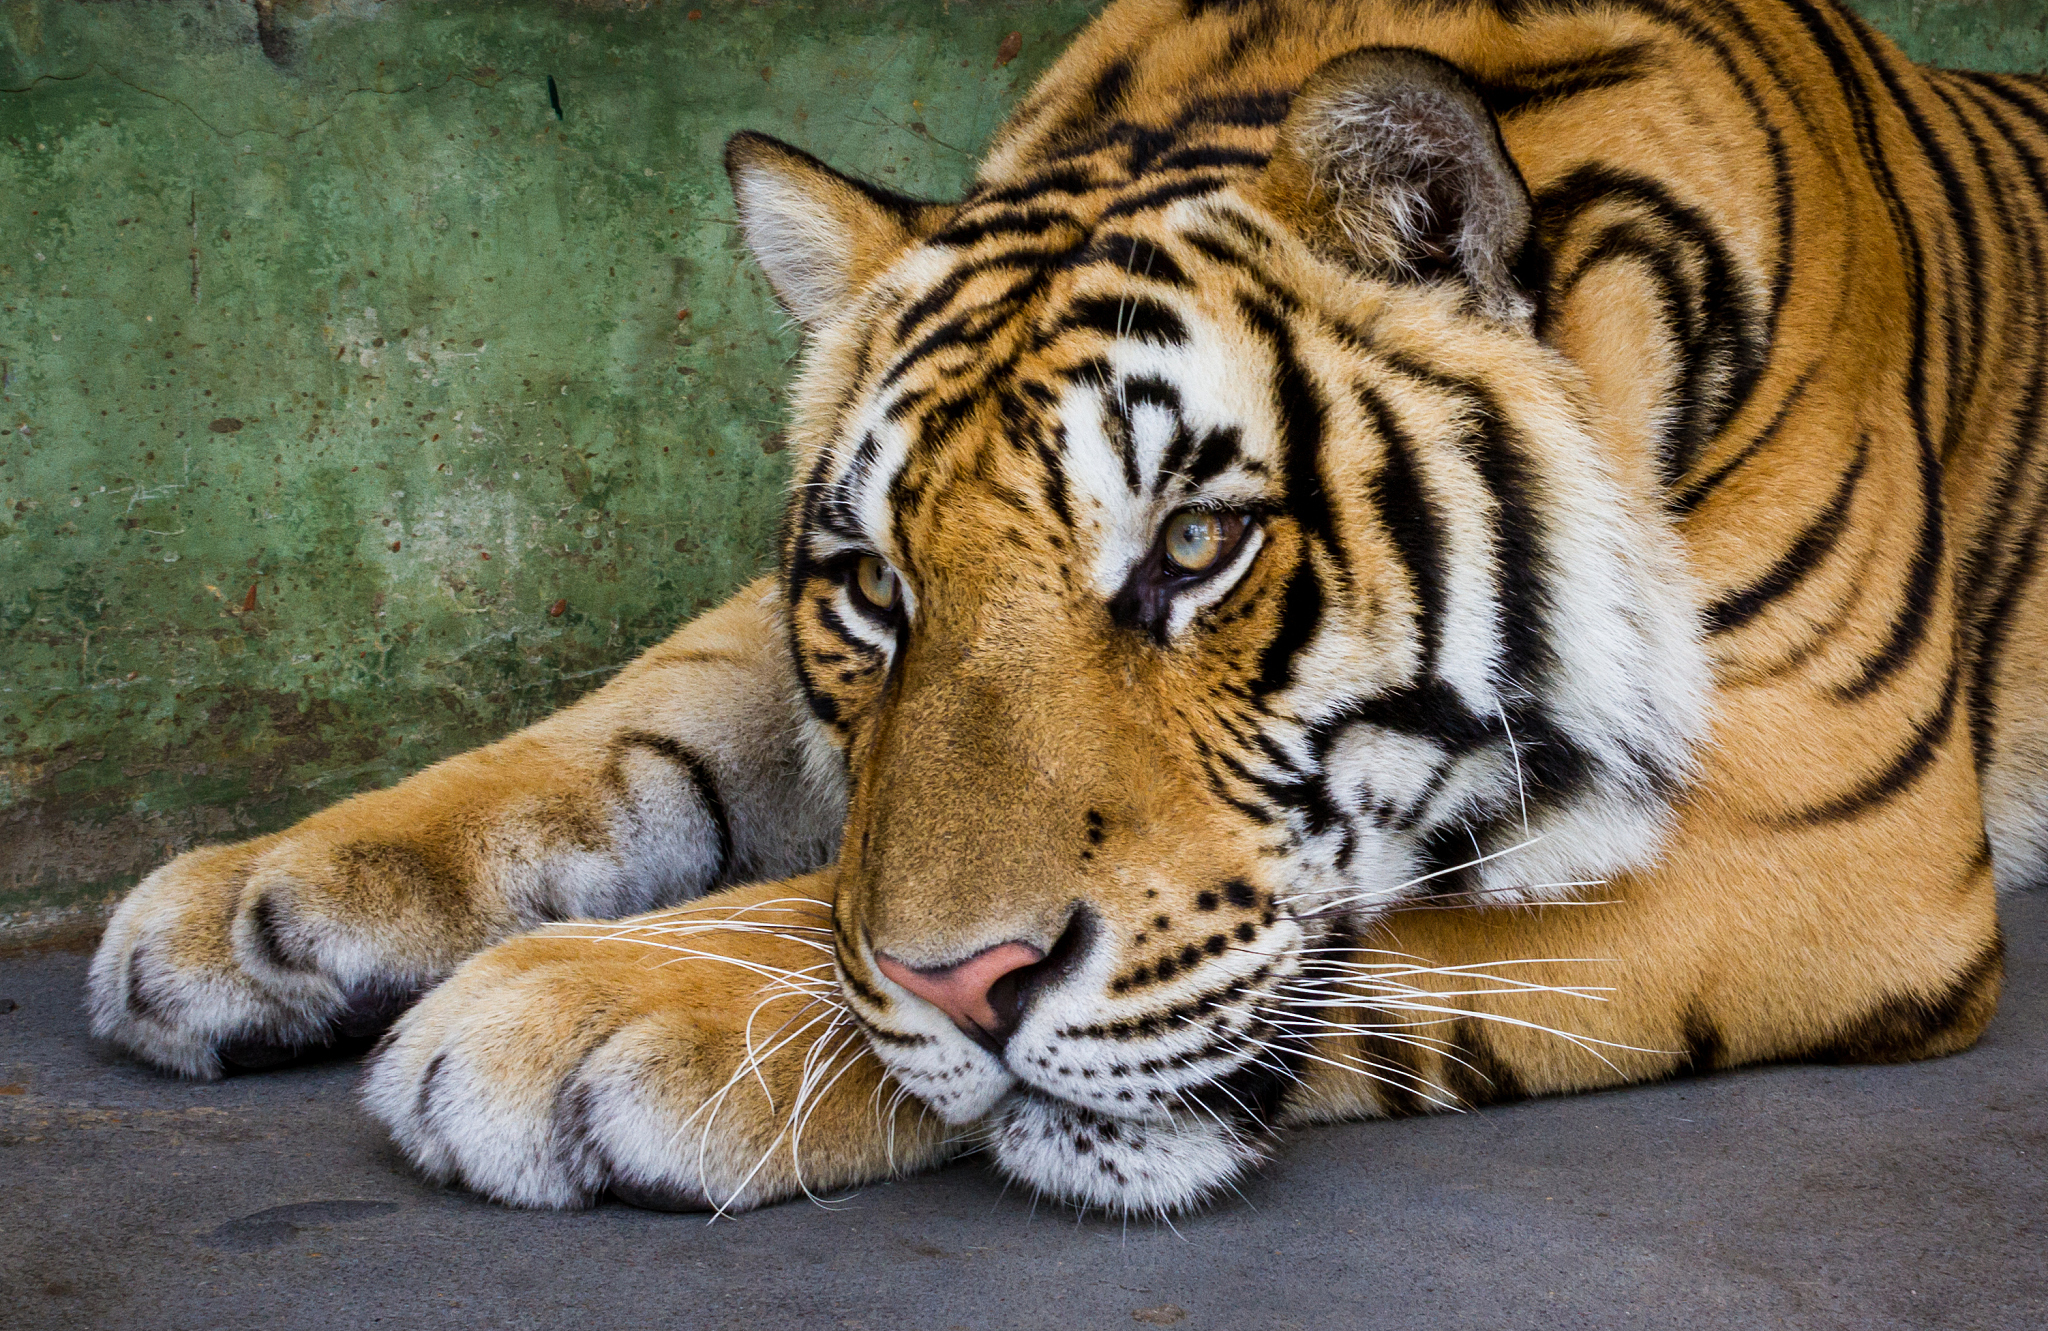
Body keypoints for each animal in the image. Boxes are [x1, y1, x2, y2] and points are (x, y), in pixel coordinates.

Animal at [83, 0, 2044, 1217]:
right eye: (875, 587)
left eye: (1195, 546)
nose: (969, 991)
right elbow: (650, 716)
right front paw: (267, 904)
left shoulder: (1820, 836)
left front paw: (568, 1016)